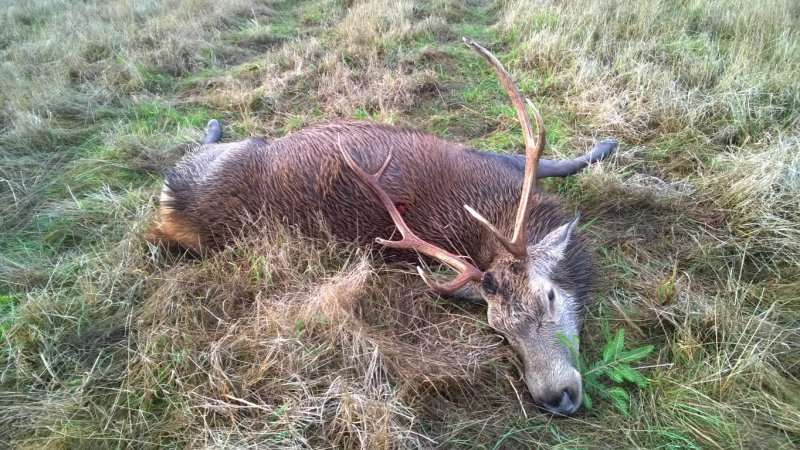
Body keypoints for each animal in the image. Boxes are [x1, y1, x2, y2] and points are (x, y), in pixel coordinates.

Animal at [149, 38, 618, 415]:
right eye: (498, 329)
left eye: (549, 297)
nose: (555, 396)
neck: (503, 208)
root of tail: (172, 210)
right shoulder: (496, 159)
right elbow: (547, 160)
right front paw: (605, 143)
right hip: (232, 151)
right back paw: (212, 124)